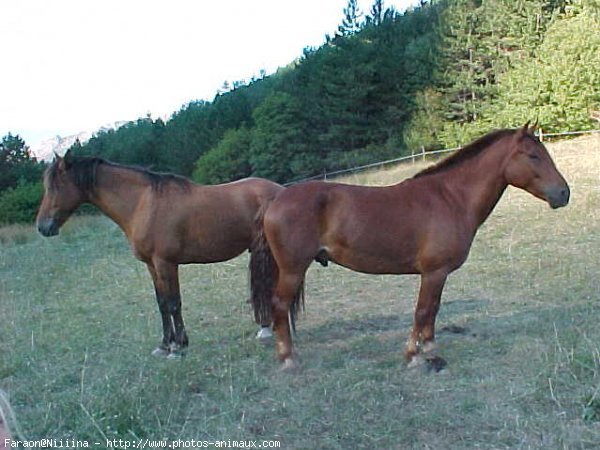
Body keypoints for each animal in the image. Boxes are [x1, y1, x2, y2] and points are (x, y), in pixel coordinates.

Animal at [36, 151, 284, 356]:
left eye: (55, 186)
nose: (43, 227)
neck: (142, 205)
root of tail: (281, 190)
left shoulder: (166, 263)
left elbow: (174, 303)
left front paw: (178, 347)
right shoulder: (151, 265)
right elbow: (162, 303)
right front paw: (165, 345)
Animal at [251, 124, 568, 370]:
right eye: (533, 156)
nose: (564, 193)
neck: (451, 198)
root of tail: (277, 198)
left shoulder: (439, 275)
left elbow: (434, 310)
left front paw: (430, 349)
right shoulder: (433, 272)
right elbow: (423, 310)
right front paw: (414, 356)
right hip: (292, 270)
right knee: (279, 306)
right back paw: (288, 359)